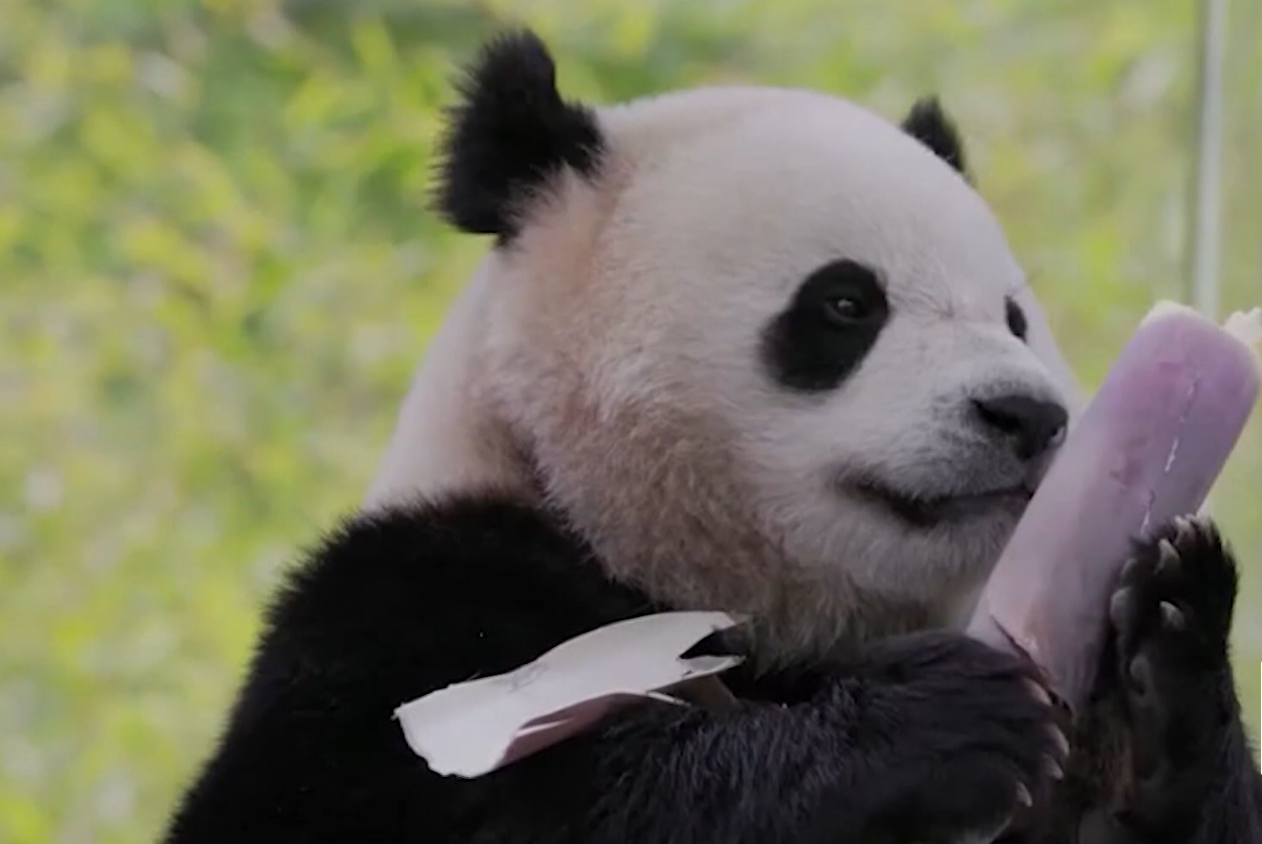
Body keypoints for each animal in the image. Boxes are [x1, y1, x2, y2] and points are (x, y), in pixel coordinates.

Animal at [161, 29, 1262, 844]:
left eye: (1014, 316)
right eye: (845, 302)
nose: (1026, 415)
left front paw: (1164, 642)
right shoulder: (405, 607)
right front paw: (936, 721)